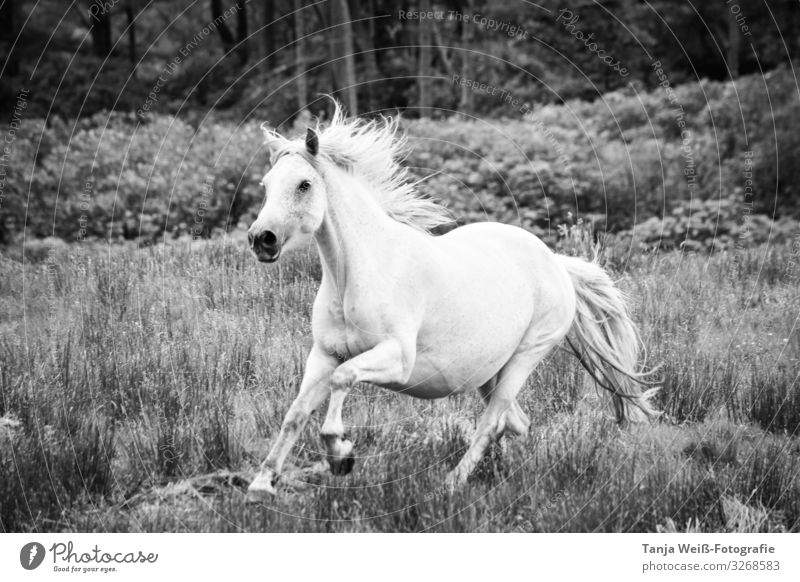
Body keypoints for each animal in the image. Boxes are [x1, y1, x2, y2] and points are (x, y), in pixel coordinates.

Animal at [245, 104, 656, 502]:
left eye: (304, 184)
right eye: (266, 185)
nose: (261, 239)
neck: (356, 274)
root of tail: (555, 261)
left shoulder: (396, 358)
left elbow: (342, 379)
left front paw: (340, 455)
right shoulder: (324, 354)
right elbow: (296, 412)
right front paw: (261, 486)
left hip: (526, 357)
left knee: (491, 422)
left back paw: (451, 484)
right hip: (490, 370)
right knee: (514, 422)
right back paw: (503, 477)